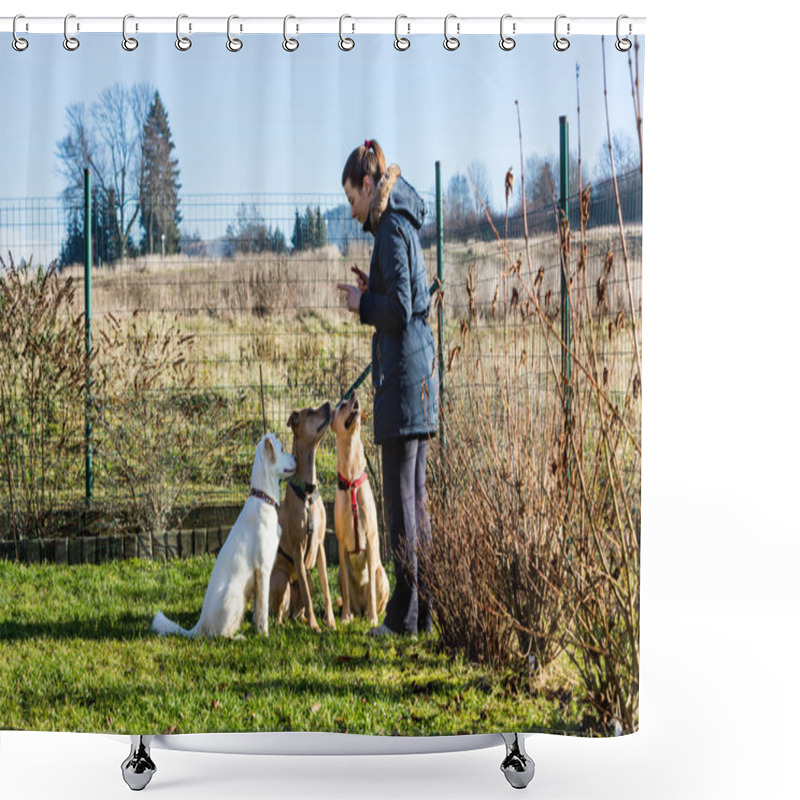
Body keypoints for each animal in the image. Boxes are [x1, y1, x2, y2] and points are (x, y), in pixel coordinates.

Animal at [152, 434, 296, 640]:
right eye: (282, 449)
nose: (297, 458)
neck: (263, 498)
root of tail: (199, 625)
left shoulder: (259, 578)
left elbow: (258, 612)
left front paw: (258, 630)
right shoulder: (263, 571)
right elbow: (263, 611)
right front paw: (265, 636)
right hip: (235, 595)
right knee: (218, 635)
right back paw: (238, 637)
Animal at [266, 404, 334, 636]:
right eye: (310, 412)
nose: (329, 404)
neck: (307, 491)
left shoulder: (320, 546)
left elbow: (326, 589)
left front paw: (331, 621)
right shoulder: (297, 549)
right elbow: (305, 591)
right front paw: (315, 625)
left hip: (305, 583)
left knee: (299, 607)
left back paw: (302, 619)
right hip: (280, 579)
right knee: (278, 613)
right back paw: (281, 624)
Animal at [330, 392, 390, 624]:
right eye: (342, 405)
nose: (354, 393)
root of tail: (361, 608)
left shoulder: (371, 541)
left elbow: (372, 590)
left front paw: (373, 619)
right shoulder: (341, 546)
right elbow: (346, 590)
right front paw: (345, 617)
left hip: (382, 574)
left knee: (378, 598)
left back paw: (374, 614)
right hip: (339, 571)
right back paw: (353, 612)